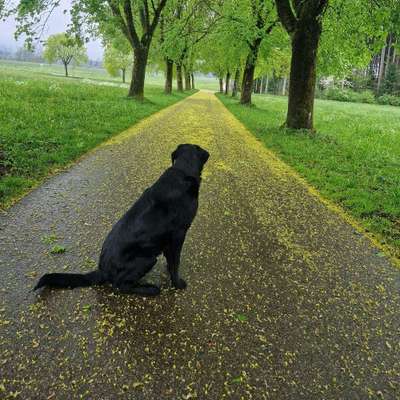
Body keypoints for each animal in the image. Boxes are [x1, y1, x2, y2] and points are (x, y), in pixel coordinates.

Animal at [34, 145, 209, 296]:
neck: (182, 170)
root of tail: (102, 270)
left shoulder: (168, 240)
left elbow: (170, 259)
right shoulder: (179, 234)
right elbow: (175, 263)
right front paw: (177, 284)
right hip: (147, 259)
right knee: (120, 286)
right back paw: (149, 289)